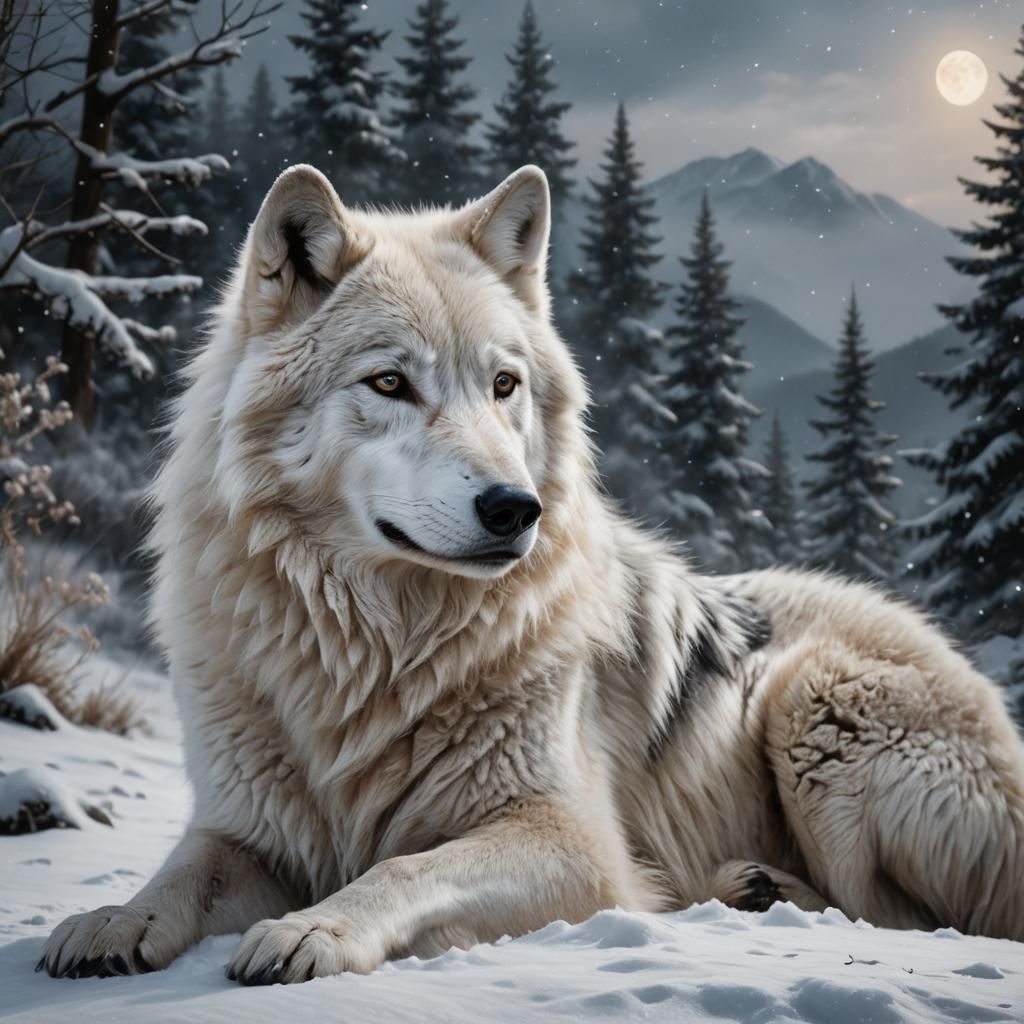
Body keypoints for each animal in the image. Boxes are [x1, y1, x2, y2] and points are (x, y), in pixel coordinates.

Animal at [39, 164, 1024, 984]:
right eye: (390, 383)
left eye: (504, 385)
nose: (516, 508)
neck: (372, 647)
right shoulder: (249, 826)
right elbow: (179, 876)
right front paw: (113, 921)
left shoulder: (570, 839)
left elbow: (404, 866)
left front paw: (315, 928)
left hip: (815, 698)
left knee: (901, 918)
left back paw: (754, 893)